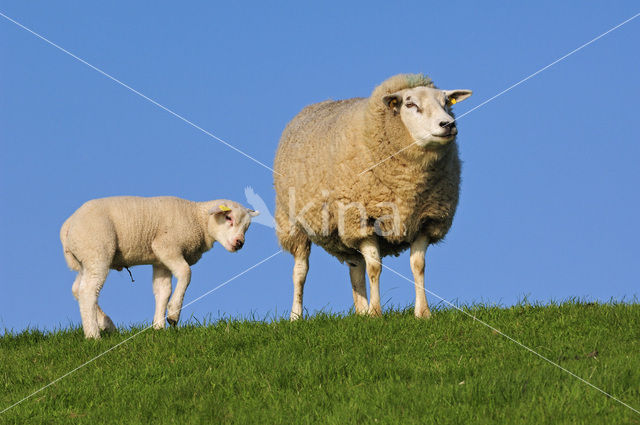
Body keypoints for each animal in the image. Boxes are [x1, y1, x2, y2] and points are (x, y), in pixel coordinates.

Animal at [60, 195, 258, 338]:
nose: (239, 243)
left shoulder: (160, 261)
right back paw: (93, 335)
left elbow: (163, 291)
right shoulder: (166, 247)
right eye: (228, 217)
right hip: (97, 251)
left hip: (85, 260)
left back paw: (106, 324)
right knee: (88, 291)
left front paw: (159, 326)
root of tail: (68, 225)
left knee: (77, 289)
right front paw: (173, 315)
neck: (197, 218)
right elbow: (186, 273)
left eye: (247, 227)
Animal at [272, 73, 472, 318]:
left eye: (446, 103)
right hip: (294, 223)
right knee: (300, 271)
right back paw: (296, 317)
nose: (448, 124)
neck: (408, 185)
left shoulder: (426, 220)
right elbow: (375, 267)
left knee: (356, 267)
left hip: (344, 231)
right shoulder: (364, 219)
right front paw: (377, 313)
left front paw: (423, 313)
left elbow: (418, 266)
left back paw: (361, 312)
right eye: (410, 104)